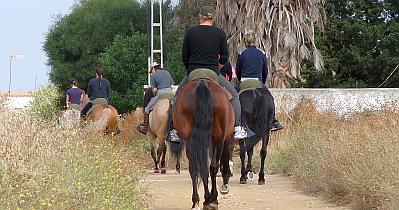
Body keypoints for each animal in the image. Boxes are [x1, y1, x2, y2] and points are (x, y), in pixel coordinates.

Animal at [172, 76, 234, 210]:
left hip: (190, 139)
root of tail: (202, 83)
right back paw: (212, 199)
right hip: (219, 138)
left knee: (195, 167)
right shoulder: (225, 140)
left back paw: (197, 201)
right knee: (213, 166)